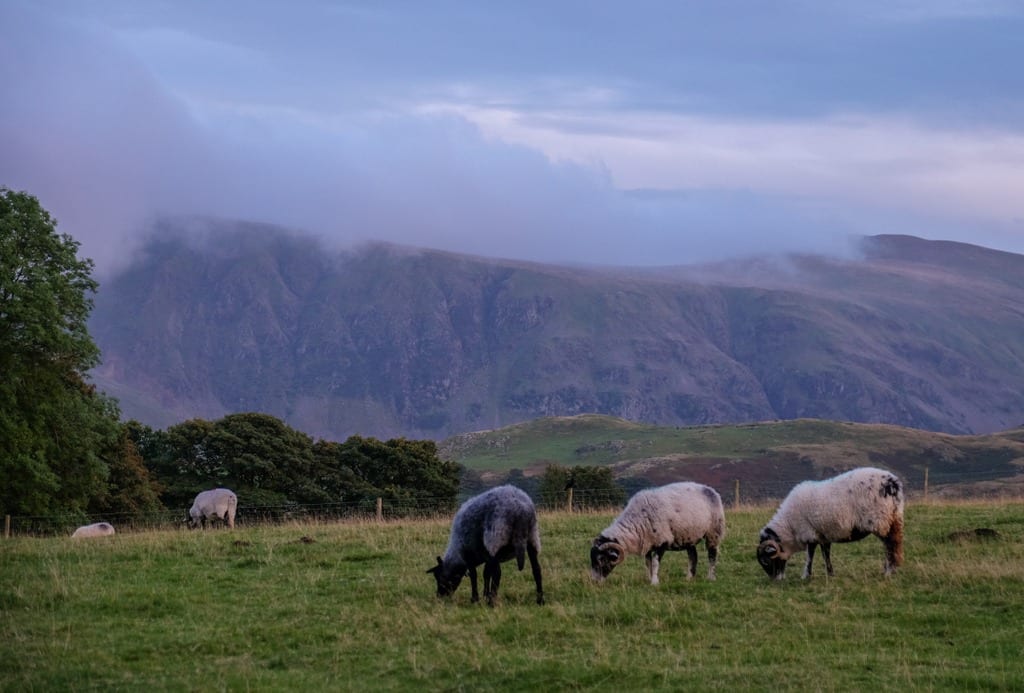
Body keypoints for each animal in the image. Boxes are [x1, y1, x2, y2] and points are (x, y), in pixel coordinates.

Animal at [589, 481, 724, 585]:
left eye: (601, 558)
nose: (595, 581)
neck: (637, 520)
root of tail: (710, 489)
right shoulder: (648, 543)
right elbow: (648, 563)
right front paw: (648, 579)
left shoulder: (662, 541)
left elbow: (654, 563)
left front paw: (654, 582)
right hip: (689, 535)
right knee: (693, 556)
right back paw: (689, 578)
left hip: (714, 532)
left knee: (712, 555)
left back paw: (711, 577)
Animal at [753, 464, 905, 577]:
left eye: (765, 561)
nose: (775, 580)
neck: (789, 526)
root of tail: (893, 483)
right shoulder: (823, 535)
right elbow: (826, 555)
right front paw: (830, 574)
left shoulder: (809, 534)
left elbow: (810, 556)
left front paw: (806, 576)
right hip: (894, 518)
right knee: (894, 544)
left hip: (880, 521)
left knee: (890, 545)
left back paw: (888, 571)